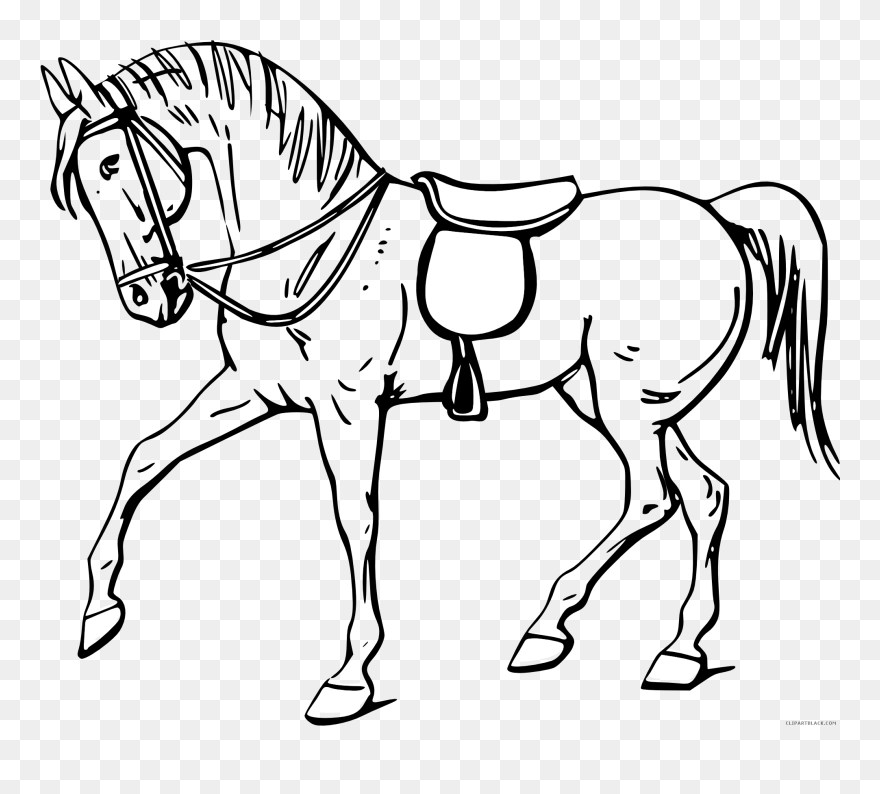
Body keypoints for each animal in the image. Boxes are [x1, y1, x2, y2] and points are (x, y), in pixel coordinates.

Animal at [42, 43, 838, 725]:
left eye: (113, 164)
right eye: (76, 187)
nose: (148, 299)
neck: (311, 247)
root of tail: (720, 216)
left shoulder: (348, 408)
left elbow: (357, 520)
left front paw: (349, 678)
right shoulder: (254, 390)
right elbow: (145, 456)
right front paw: (98, 612)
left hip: (627, 401)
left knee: (653, 495)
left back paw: (552, 627)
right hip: (616, 399)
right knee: (703, 495)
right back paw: (677, 651)